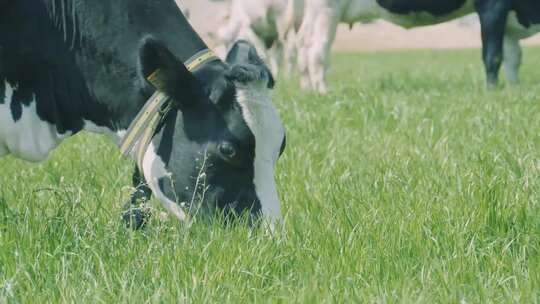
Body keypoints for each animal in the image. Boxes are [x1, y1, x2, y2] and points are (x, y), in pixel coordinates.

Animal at [298, 0, 540, 92]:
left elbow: (513, 59)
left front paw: (513, 88)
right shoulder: (493, 7)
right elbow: (493, 55)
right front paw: (491, 90)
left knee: (302, 45)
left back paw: (307, 89)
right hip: (326, 10)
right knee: (317, 50)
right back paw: (323, 90)